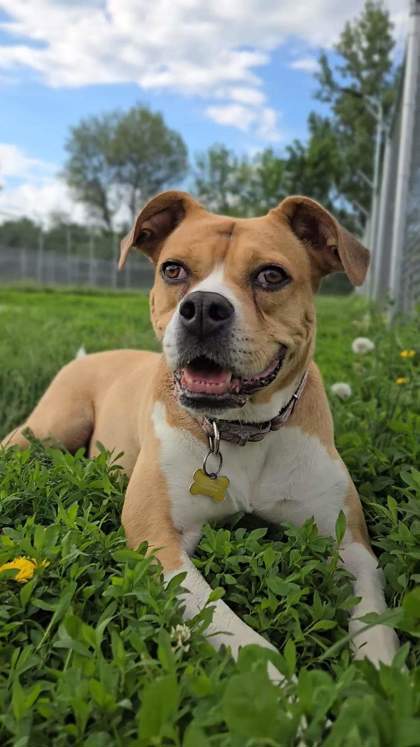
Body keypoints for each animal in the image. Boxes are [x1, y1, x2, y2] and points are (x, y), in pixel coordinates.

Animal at [2, 190, 398, 668]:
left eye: (271, 275)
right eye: (173, 269)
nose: (204, 308)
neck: (238, 431)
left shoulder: (351, 544)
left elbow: (375, 620)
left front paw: (378, 676)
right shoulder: (158, 539)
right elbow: (240, 636)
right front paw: (282, 686)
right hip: (51, 426)